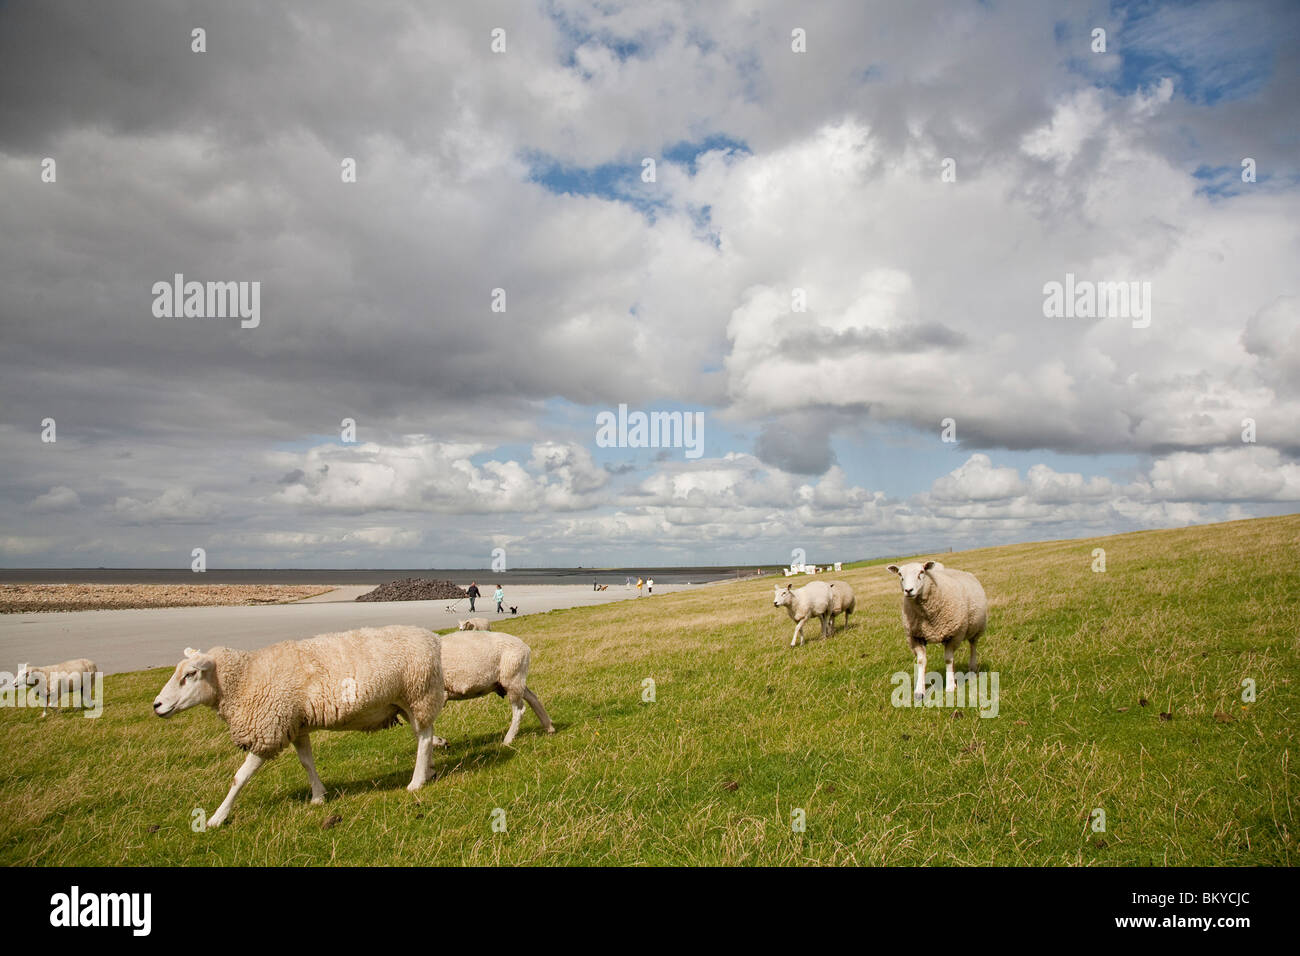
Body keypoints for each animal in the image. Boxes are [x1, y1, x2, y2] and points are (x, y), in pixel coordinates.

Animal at [150, 624, 447, 827]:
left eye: (191, 674)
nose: (157, 705)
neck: (245, 677)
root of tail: (431, 638)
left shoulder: (268, 730)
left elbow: (239, 777)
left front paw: (217, 817)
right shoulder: (295, 725)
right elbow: (306, 762)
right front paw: (318, 796)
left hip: (418, 693)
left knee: (423, 738)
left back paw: (416, 781)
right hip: (407, 701)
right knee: (424, 734)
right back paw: (429, 769)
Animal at [889, 561, 987, 702]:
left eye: (921, 572)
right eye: (900, 574)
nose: (908, 590)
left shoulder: (955, 634)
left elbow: (948, 659)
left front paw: (950, 686)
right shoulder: (915, 637)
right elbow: (921, 661)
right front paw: (919, 691)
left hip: (976, 627)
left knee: (973, 645)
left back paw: (972, 668)